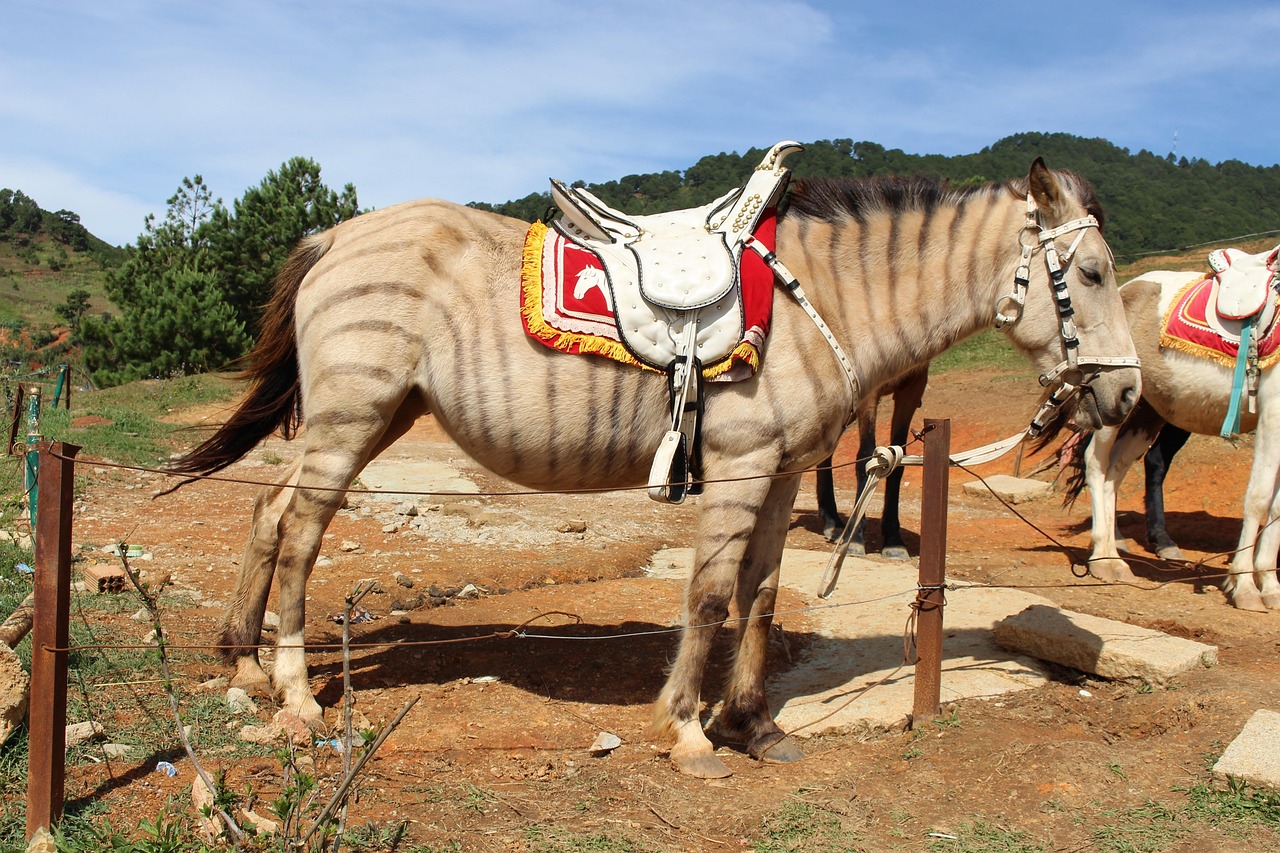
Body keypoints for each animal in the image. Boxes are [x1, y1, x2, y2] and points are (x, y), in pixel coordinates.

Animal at [815, 364, 929, 558]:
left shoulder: (913, 385)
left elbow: (897, 460)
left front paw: (893, 540)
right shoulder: (868, 392)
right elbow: (866, 455)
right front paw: (855, 538)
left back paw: (833, 522)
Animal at [1065, 269, 1280, 611]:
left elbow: (1276, 508)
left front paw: (1271, 587)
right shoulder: (1272, 412)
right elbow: (1258, 499)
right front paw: (1245, 587)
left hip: (1145, 414)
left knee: (1116, 472)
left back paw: (1117, 549)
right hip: (1114, 410)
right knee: (1096, 466)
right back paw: (1103, 559)